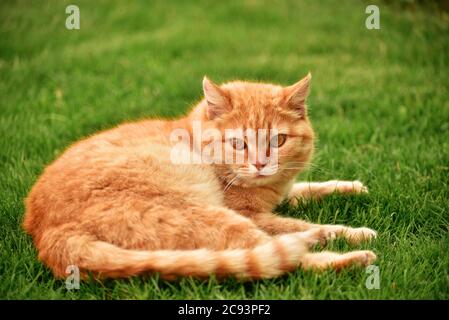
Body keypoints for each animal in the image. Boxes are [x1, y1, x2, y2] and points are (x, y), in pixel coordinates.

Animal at [22, 73, 376, 280]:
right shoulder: (250, 213)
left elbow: (308, 188)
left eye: (279, 140)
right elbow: (300, 224)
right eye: (238, 143)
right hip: (211, 218)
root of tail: (47, 230)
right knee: (289, 256)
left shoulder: (284, 191)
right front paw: (352, 230)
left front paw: (351, 187)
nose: (261, 164)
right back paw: (355, 255)